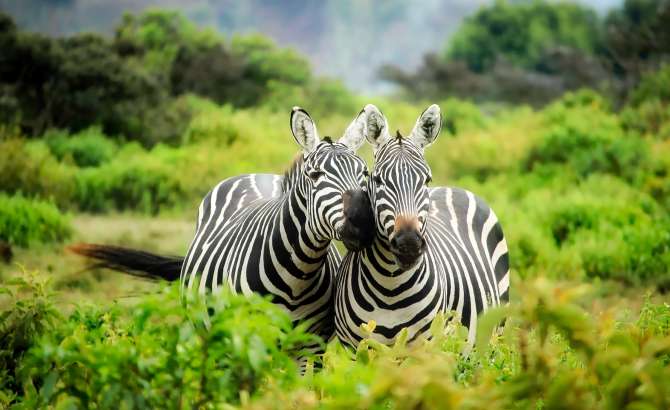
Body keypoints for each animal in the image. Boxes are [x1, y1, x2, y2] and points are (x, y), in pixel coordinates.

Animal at [73, 108, 378, 342]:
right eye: (315, 175)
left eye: (364, 173)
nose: (363, 222)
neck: (298, 275)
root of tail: (255, 174)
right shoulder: (249, 336)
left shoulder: (310, 346)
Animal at [334, 104, 512, 348]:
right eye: (377, 180)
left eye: (426, 180)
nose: (409, 244)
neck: (390, 289)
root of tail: (453, 188)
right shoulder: (354, 348)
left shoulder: (425, 346)